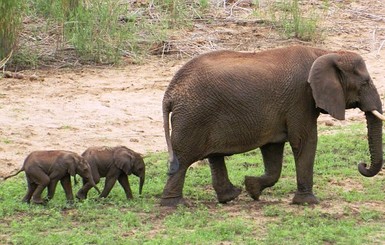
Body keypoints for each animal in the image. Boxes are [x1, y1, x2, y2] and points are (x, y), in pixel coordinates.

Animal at [160, 45, 384, 206]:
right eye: (364, 83)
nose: (362, 164)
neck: (324, 53)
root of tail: (170, 93)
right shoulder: (300, 98)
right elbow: (305, 141)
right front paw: (309, 203)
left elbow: (272, 149)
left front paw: (252, 188)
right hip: (193, 117)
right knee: (184, 158)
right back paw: (175, 205)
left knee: (213, 155)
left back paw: (230, 197)